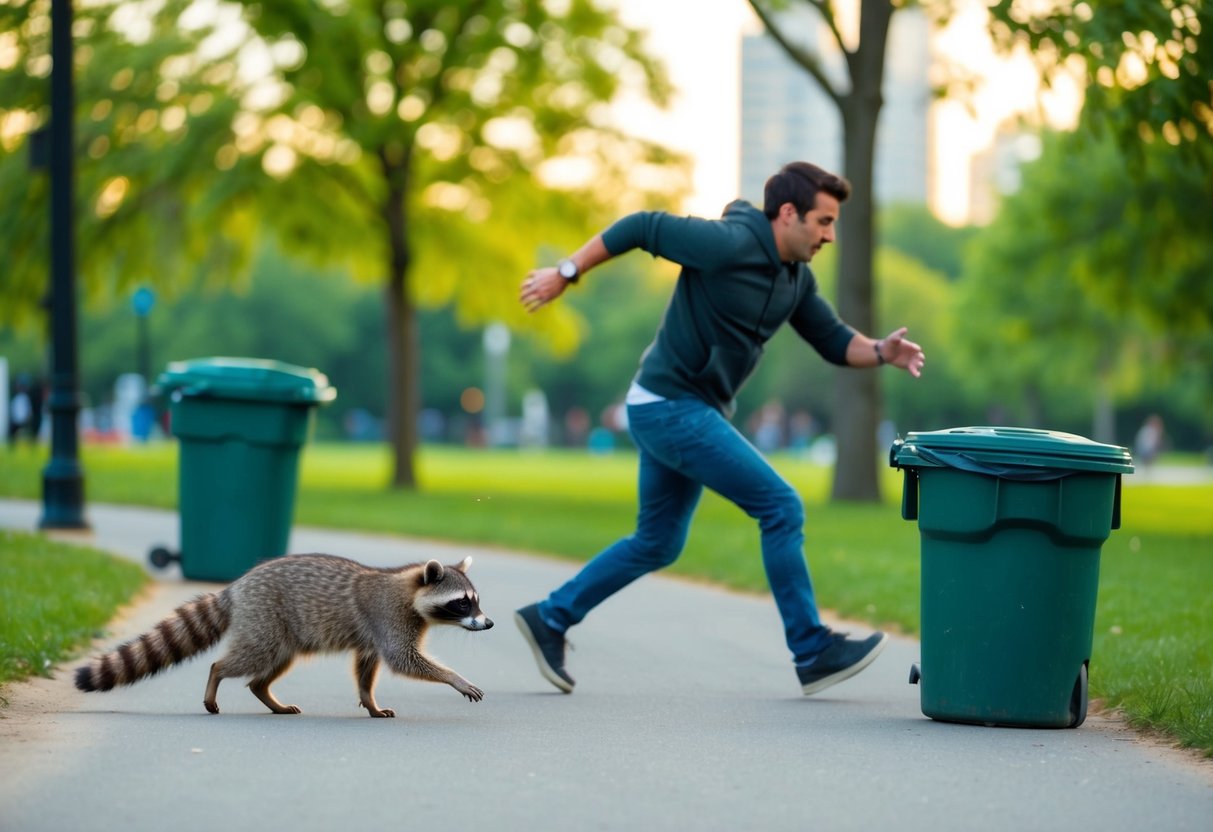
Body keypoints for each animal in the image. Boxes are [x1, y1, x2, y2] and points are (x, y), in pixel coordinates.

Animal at [74, 553, 492, 717]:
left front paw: (369, 702)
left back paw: (267, 695)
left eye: (477, 601)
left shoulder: (374, 635)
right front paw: (454, 678)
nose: (487, 624)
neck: (409, 589)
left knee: (270, 667)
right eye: (461, 603)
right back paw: (216, 675)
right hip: (265, 619)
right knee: (245, 658)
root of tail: (236, 587)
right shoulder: (388, 617)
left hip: (282, 633)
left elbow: (366, 669)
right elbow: (404, 660)